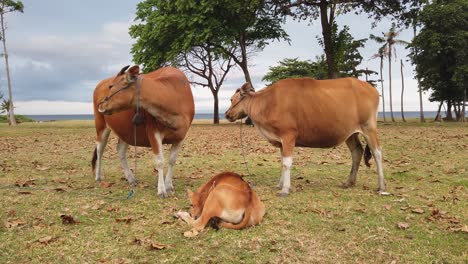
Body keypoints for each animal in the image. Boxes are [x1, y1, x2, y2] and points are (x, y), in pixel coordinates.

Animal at [93, 65, 194, 198]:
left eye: (111, 86)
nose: (101, 105)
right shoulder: (153, 132)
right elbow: (160, 161)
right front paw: (161, 190)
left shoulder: (181, 136)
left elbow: (172, 160)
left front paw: (169, 186)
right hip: (100, 125)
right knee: (100, 149)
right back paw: (98, 177)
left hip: (127, 131)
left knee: (120, 150)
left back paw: (131, 178)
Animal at [225, 77, 386, 196]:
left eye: (232, 99)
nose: (227, 114)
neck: (268, 102)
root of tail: (370, 88)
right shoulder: (281, 141)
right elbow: (282, 162)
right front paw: (280, 185)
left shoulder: (288, 136)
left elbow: (287, 163)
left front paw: (285, 189)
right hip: (350, 133)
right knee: (357, 152)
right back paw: (349, 182)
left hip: (369, 128)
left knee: (377, 152)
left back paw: (382, 187)